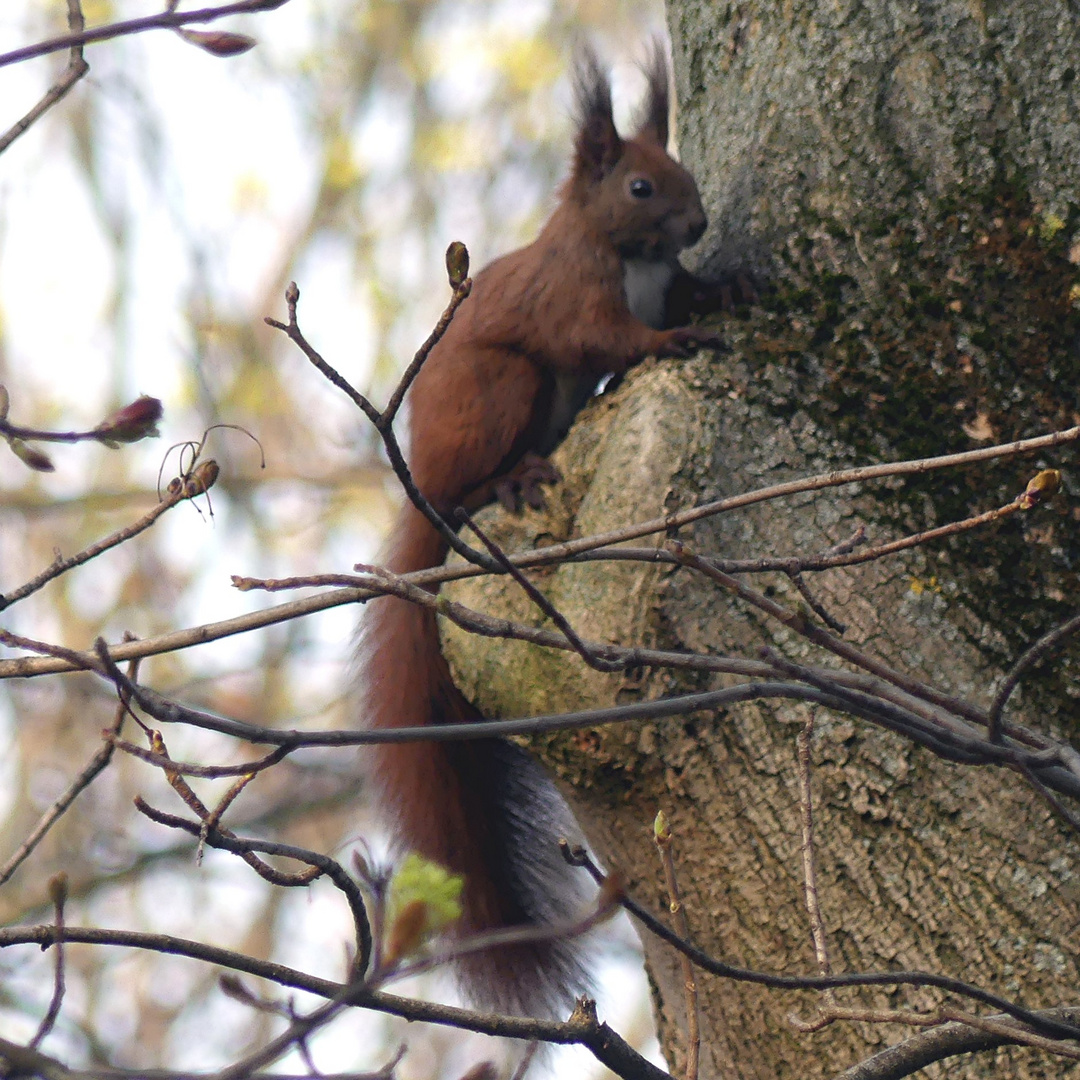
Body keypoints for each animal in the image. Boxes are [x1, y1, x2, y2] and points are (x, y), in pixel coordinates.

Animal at [358, 42, 721, 1015]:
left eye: (680, 168)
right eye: (640, 185)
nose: (699, 223)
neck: (624, 254)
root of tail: (423, 484)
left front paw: (718, 290)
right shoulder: (572, 299)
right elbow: (603, 340)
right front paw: (665, 344)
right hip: (503, 391)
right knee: (475, 480)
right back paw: (509, 479)